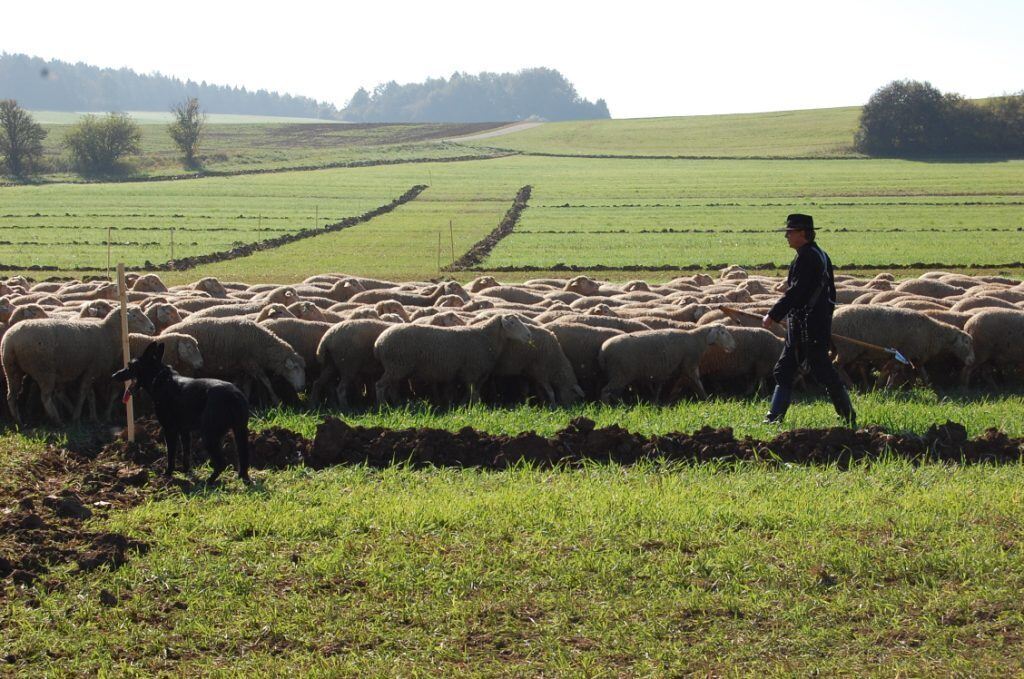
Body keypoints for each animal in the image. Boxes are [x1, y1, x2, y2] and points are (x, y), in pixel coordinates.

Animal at [3, 307, 154, 426]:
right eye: (134, 315)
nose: (152, 327)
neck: (107, 332)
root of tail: (11, 340)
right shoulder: (93, 368)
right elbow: (83, 393)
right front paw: (76, 416)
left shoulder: (88, 369)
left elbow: (90, 394)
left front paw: (91, 417)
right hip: (44, 370)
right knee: (45, 397)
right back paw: (57, 420)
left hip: (11, 368)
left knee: (11, 395)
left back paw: (18, 421)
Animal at [113, 346, 250, 483]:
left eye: (130, 366)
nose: (113, 375)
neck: (160, 378)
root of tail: (234, 395)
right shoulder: (184, 431)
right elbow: (186, 453)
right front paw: (186, 471)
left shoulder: (169, 430)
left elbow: (171, 454)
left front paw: (168, 473)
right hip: (239, 433)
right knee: (243, 461)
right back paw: (242, 478)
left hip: (209, 436)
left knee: (222, 463)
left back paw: (209, 481)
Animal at [164, 317, 303, 405]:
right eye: (295, 368)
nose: (301, 388)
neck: (262, 345)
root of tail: (164, 332)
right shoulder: (251, 363)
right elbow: (266, 381)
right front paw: (277, 401)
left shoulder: (245, 368)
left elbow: (247, 385)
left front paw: (246, 401)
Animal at [376, 313, 536, 403]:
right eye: (512, 323)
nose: (529, 335)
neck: (485, 337)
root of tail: (379, 342)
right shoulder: (472, 372)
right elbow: (474, 395)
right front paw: (477, 410)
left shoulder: (478, 375)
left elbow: (471, 394)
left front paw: (463, 406)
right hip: (396, 366)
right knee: (380, 386)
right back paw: (383, 406)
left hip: (396, 368)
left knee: (391, 388)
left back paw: (398, 404)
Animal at [598, 325, 737, 401]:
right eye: (723, 332)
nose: (733, 347)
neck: (697, 339)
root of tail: (603, 351)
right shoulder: (690, 364)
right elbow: (697, 383)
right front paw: (707, 399)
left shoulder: (672, 369)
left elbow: (667, 386)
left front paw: (659, 401)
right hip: (621, 373)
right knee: (605, 391)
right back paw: (609, 409)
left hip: (620, 374)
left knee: (614, 393)